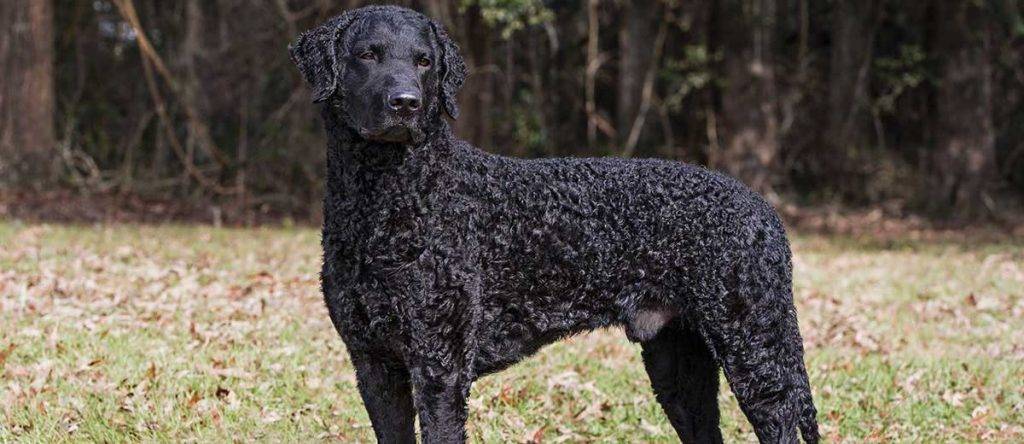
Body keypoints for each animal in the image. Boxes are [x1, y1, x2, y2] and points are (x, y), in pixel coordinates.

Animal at [288, 5, 815, 441]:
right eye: (367, 55)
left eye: (424, 62)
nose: (406, 103)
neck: (387, 201)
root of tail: (762, 207)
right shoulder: (375, 366)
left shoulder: (439, 365)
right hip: (680, 363)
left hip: (756, 349)